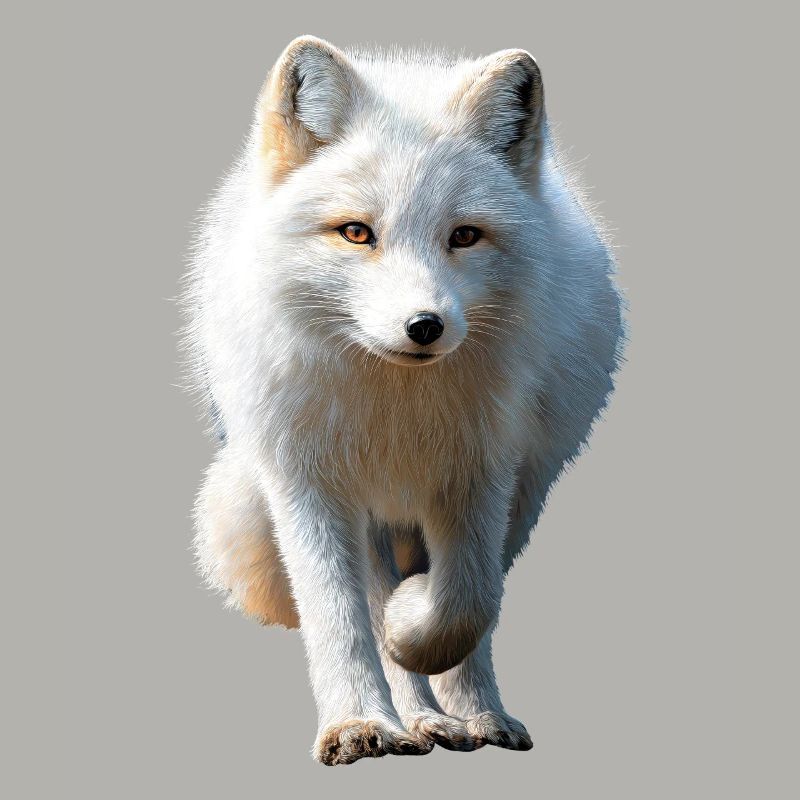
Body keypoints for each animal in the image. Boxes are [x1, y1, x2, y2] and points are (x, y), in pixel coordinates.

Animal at [181, 35, 625, 766]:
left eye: (464, 236)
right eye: (356, 233)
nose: (425, 327)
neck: (396, 410)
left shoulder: (482, 471)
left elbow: (468, 602)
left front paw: (420, 642)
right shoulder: (309, 480)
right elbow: (338, 613)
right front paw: (359, 721)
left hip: (525, 492)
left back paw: (466, 716)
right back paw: (413, 718)